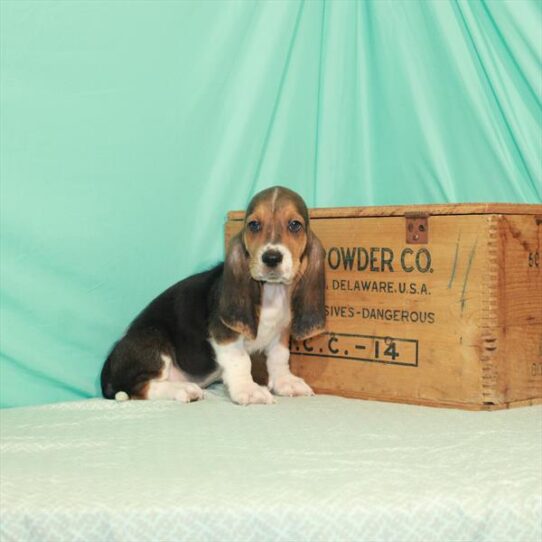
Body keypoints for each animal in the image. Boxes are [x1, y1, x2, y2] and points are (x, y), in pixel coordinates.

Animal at [100, 186, 326, 404]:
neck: (271, 291)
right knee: (140, 388)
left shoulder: (281, 332)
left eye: (295, 225)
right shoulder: (225, 334)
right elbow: (241, 361)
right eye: (253, 225)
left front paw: (285, 382)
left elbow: (279, 357)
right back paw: (183, 389)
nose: (271, 258)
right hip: (153, 339)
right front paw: (248, 390)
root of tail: (108, 370)